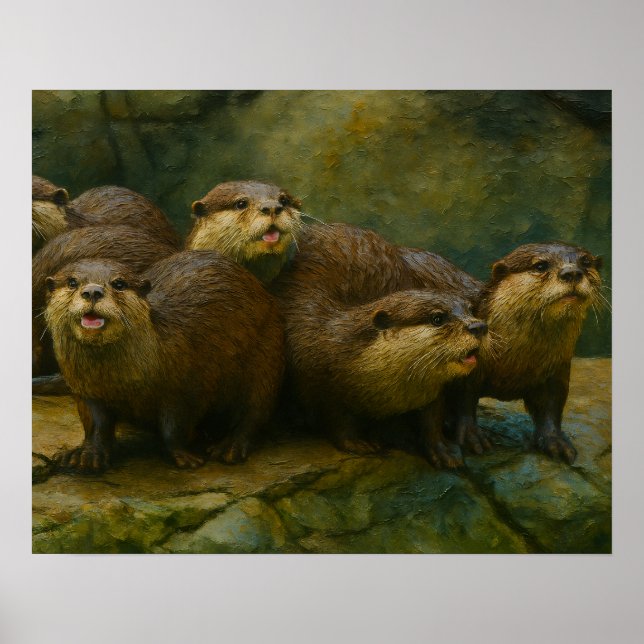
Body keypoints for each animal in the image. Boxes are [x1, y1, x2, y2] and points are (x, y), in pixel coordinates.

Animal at [44, 252, 284, 472]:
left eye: (119, 283)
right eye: (72, 282)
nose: (93, 291)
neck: (121, 380)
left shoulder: (185, 385)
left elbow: (174, 426)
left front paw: (183, 455)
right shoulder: (85, 389)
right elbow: (96, 423)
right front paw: (87, 453)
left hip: (266, 354)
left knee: (255, 409)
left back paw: (230, 446)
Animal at [446, 242, 604, 463]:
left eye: (586, 261)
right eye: (540, 265)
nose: (572, 272)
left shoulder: (557, 369)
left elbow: (552, 406)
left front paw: (555, 441)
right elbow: (463, 399)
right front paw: (471, 436)